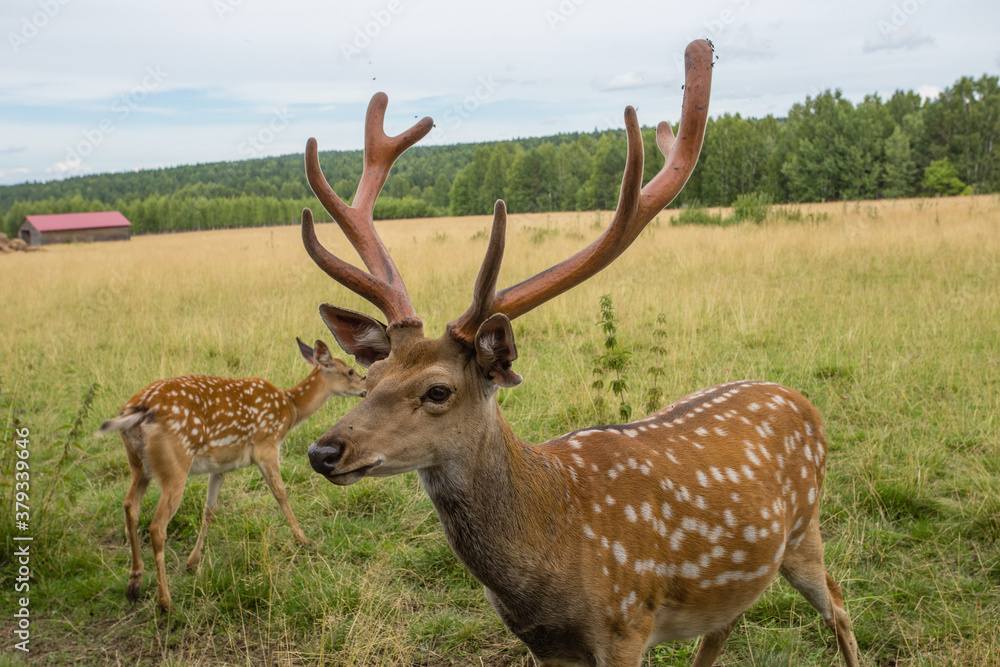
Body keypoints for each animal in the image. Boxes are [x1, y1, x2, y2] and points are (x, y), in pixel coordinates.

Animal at [97, 340, 368, 612]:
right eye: (350, 371)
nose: (366, 387)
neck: (289, 408)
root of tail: (136, 411)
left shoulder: (221, 465)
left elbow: (210, 509)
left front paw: (192, 562)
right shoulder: (266, 445)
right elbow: (280, 493)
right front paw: (303, 540)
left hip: (138, 465)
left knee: (129, 506)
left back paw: (134, 584)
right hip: (175, 466)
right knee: (156, 526)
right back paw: (165, 602)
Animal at [298, 41, 860, 667]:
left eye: (438, 390)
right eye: (368, 381)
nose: (323, 450)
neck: (549, 558)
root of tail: (804, 401)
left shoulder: (625, 624)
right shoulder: (544, 644)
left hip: (804, 528)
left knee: (838, 603)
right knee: (726, 624)